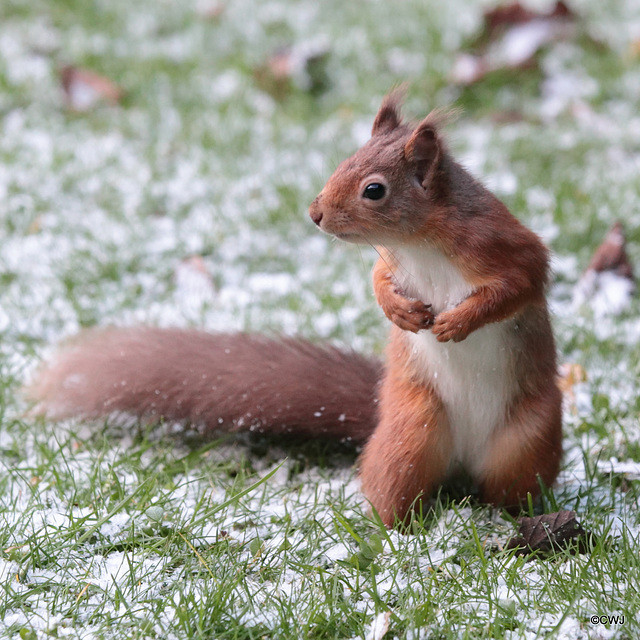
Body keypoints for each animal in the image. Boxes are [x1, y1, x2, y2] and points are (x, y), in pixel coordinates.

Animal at [30, 92, 560, 528]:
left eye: (374, 190)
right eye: (343, 161)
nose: (315, 213)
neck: (420, 244)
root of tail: (462, 464)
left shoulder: (498, 243)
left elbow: (521, 282)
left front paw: (459, 320)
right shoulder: (395, 262)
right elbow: (378, 280)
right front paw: (398, 311)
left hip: (526, 440)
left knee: (507, 491)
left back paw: (513, 520)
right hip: (413, 433)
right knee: (395, 489)